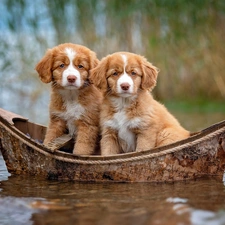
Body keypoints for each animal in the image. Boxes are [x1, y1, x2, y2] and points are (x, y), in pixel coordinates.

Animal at [35, 43, 190, 156]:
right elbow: (49, 139)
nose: (125, 86)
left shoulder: (144, 132)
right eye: (61, 65)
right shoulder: (58, 121)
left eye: (133, 73)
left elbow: (81, 150)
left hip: (165, 134)